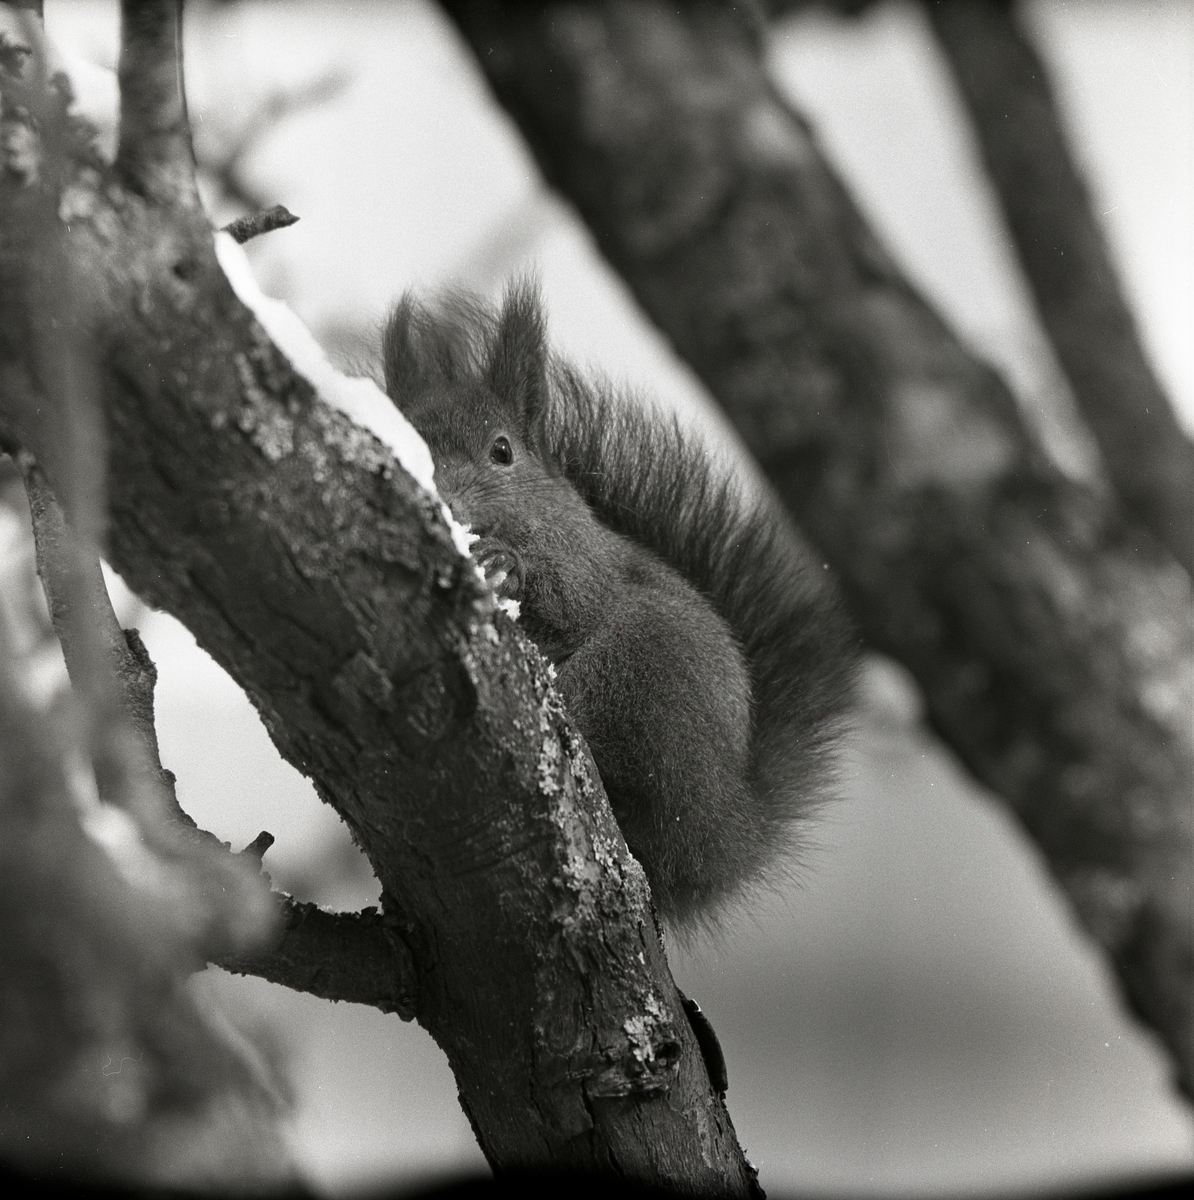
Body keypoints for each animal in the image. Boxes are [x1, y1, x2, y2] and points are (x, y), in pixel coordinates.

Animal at [384, 280, 859, 926]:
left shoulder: (589, 562)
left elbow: (577, 598)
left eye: (502, 451)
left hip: (641, 667)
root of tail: (728, 830)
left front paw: (508, 565)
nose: (447, 499)